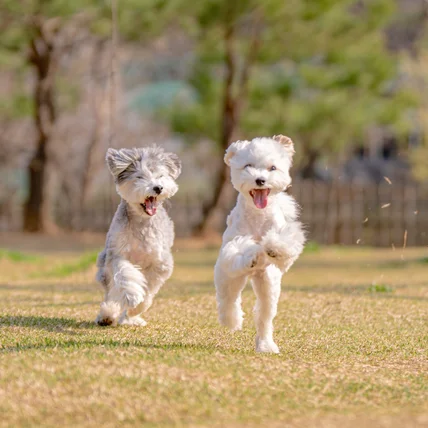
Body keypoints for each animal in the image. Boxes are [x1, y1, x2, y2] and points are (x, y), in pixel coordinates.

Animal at [94, 145, 181, 326]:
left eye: (160, 176)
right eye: (140, 177)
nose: (158, 187)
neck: (142, 221)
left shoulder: (160, 263)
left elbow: (148, 291)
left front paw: (136, 309)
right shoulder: (117, 254)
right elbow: (124, 274)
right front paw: (133, 296)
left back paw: (130, 318)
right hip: (104, 267)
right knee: (111, 292)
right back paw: (107, 314)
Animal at [216, 135, 306, 352]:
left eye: (272, 168)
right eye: (248, 166)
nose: (260, 180)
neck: (257, 215)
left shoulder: (285, 240)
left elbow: (284, 244)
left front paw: (272, 248)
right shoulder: (231, 247)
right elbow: (240, 249)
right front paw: (252, 255)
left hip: (268, 285)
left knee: (264, 316)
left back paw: (265, 344)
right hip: (228, 277)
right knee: (228, 300)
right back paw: (231, 320)